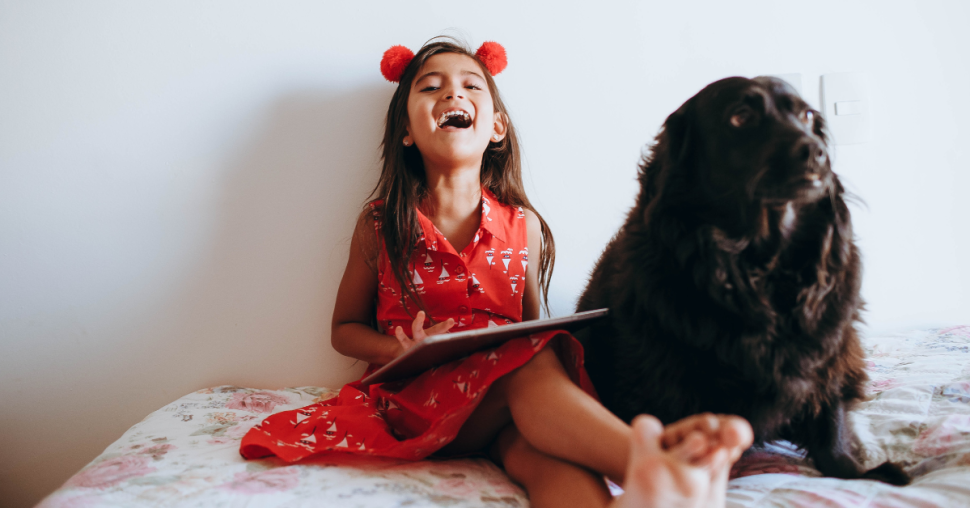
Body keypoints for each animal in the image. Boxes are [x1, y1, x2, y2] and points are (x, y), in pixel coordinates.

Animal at [576, 76, 908, 484]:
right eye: (741, 116)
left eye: (806, 115)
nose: (817, 153)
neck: (761, 266)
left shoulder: (828, 353)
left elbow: (831, 424)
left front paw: (856, 472)